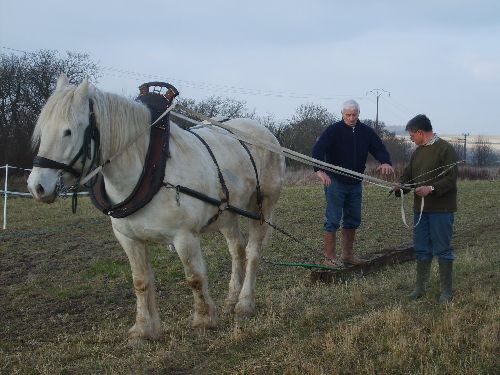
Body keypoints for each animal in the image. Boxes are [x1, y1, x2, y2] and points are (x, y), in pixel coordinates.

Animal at [27, 74, 286, 344]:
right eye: (42, 130)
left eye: (68, 131)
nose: (37, 186)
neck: (150, 168)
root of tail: (265, 133)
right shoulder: (128, 238)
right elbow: (140, 281)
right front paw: (143, 330)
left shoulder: (184, 236)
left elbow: (195, 277)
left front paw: (203, 320)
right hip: (227, 214)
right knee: (237, 250)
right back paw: (231, 301)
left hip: (262, 207)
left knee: (253, 252)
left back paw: (245, 304)